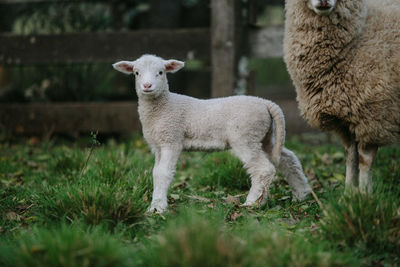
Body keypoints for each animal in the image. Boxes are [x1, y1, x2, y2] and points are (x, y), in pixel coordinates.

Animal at [114, 55, 310, 214]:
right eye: (136, 73)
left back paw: (253, 203)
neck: (164, 107)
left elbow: (163, 173)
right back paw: (302, 195)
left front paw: (157, 208)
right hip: (265, 136)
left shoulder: (172, 139)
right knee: (288, 159)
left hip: (245, 137)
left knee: (264, 169)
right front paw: (156, 203)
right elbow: (155, 172)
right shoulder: (158, 145)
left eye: (161, 72)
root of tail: (266, 103)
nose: (147, 86)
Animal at [282, 0, 398, 194]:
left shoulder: (374, 116)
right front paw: (348, 193)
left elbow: (365, 160)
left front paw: (365, 195)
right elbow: (350, 156)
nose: (323, 1)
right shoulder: (345, 118)